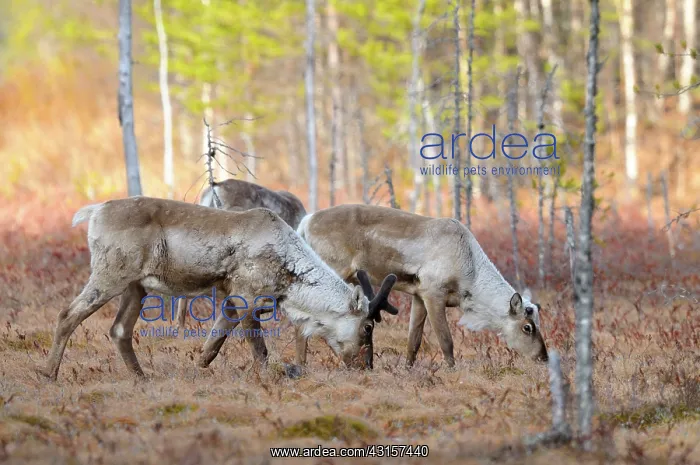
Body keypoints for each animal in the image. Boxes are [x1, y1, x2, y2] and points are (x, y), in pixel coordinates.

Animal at [35, 197, 398, 381]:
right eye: (367, 326)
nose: (366, 367)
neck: (289, 277)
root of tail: (94, 212)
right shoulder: (247, 294)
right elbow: (258, 348)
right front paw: (266, 379)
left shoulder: (229, 297)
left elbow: (214, 342)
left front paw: (197, 371)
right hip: (111, 273)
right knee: (68, 314)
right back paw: (49, 374)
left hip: (136, 286)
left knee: (119, 329)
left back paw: (142, 377)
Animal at [294, 204, 549, 368]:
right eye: (528, 327)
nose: (544, 358)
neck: (470, 269)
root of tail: (306, 222)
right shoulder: (433, 294)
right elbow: (446, 341)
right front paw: (452, 372)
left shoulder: (418, 296)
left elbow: (413, 341)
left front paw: (408, 369)